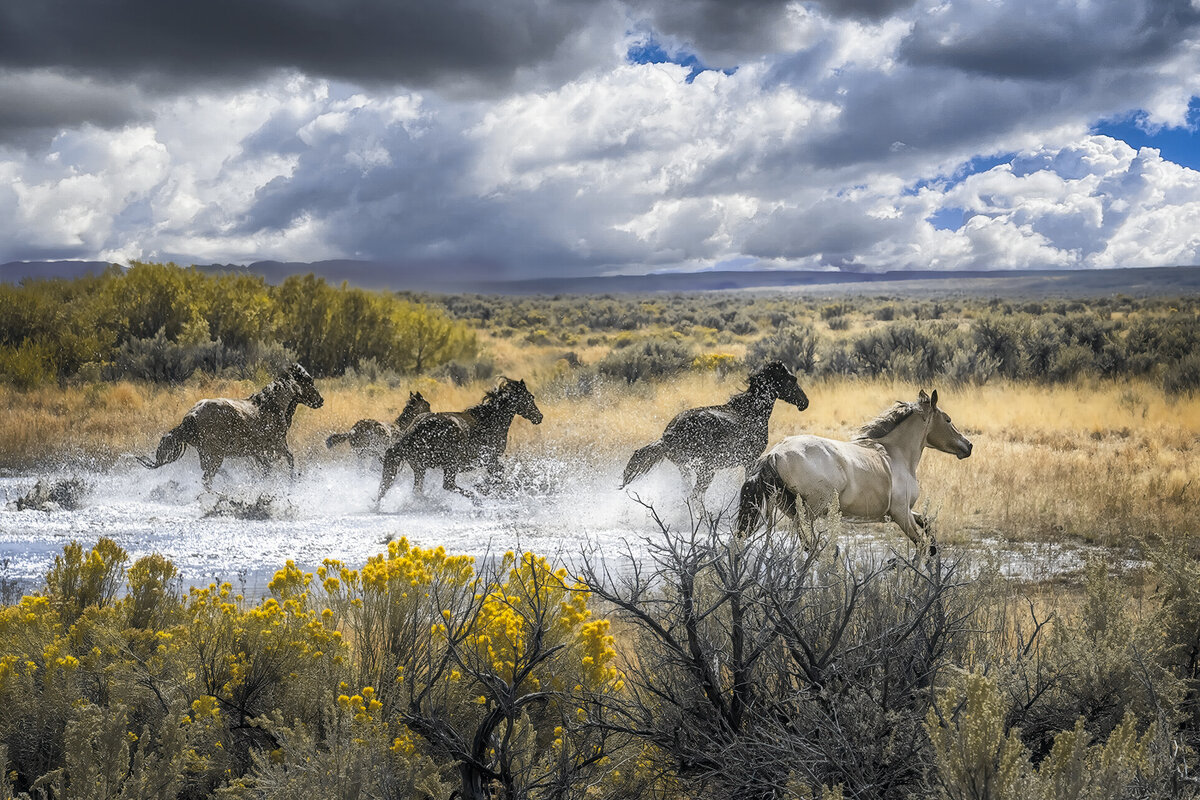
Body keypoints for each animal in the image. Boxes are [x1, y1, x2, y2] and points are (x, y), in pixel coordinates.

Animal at [136, 363, 325, 490]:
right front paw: (292, 482)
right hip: (216, 454)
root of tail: (191, 416)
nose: (320, 400)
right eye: (309, 381)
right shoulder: (277, 445)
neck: (271, 406)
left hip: (207, 453)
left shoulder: (257, 452)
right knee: (207, 478)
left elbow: (267, 469)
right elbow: (290, 459)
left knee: (209, 473)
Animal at [376, 377, 543, 504]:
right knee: (448, 485)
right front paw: (481, 488)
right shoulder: (489, 459)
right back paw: (475, 500)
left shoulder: (489, 461)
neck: (489, 421)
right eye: (530, 397)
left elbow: (498, 476)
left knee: (416, 489)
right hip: (450, 464)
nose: (539, 417)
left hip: (420, 468)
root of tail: (414, 430)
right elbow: (498, 476)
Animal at [620, 360, 809, 508]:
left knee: (689, 494)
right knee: (695, 496)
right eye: (792, 379)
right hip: (705, 470)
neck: (752, 411)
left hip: (686, 470)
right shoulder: (750, 460)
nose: (805, 402)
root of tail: (666, 438)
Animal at [735, 389, 972, 549]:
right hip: (811, 511)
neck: (895, 455)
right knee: (810, 545)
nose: (968, 445)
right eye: (948, 419)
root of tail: (775, 453)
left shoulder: (901, 512)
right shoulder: (901, 513)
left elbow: (928, 526)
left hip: (789, 507)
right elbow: (924, 546)